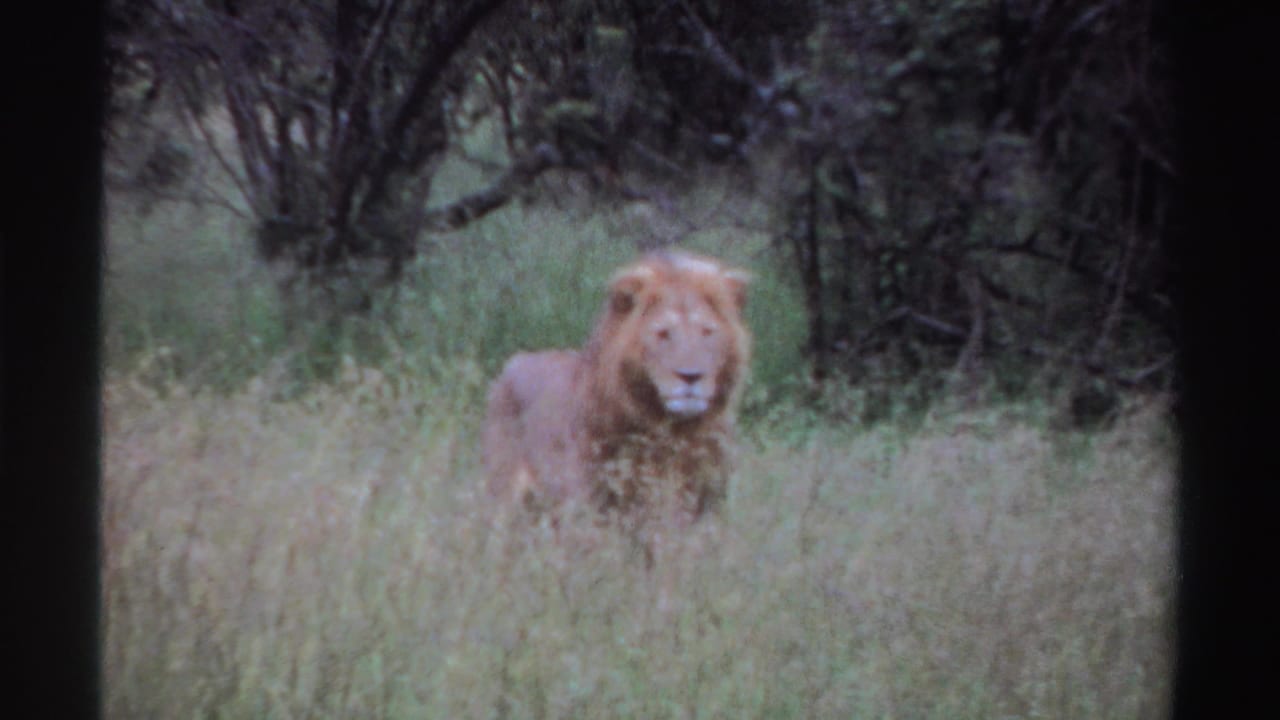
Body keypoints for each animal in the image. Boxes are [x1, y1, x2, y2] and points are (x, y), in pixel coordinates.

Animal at [482, 249, 751, 529]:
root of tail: (512, 364)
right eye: (663, 333)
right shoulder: (592, 507)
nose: (691, 376)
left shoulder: (701, 509)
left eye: (707, 332)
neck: (673, 430)